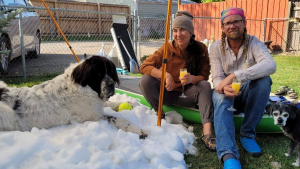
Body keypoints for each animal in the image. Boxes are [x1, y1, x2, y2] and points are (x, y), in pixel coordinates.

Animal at [0, 55, 148, 139]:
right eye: (98, 74)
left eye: (111, 72)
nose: (111, 85)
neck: (82, 87)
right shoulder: (93, 116)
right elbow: (119, 119)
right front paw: (138, 130)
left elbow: (108, 104)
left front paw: (127, 103)